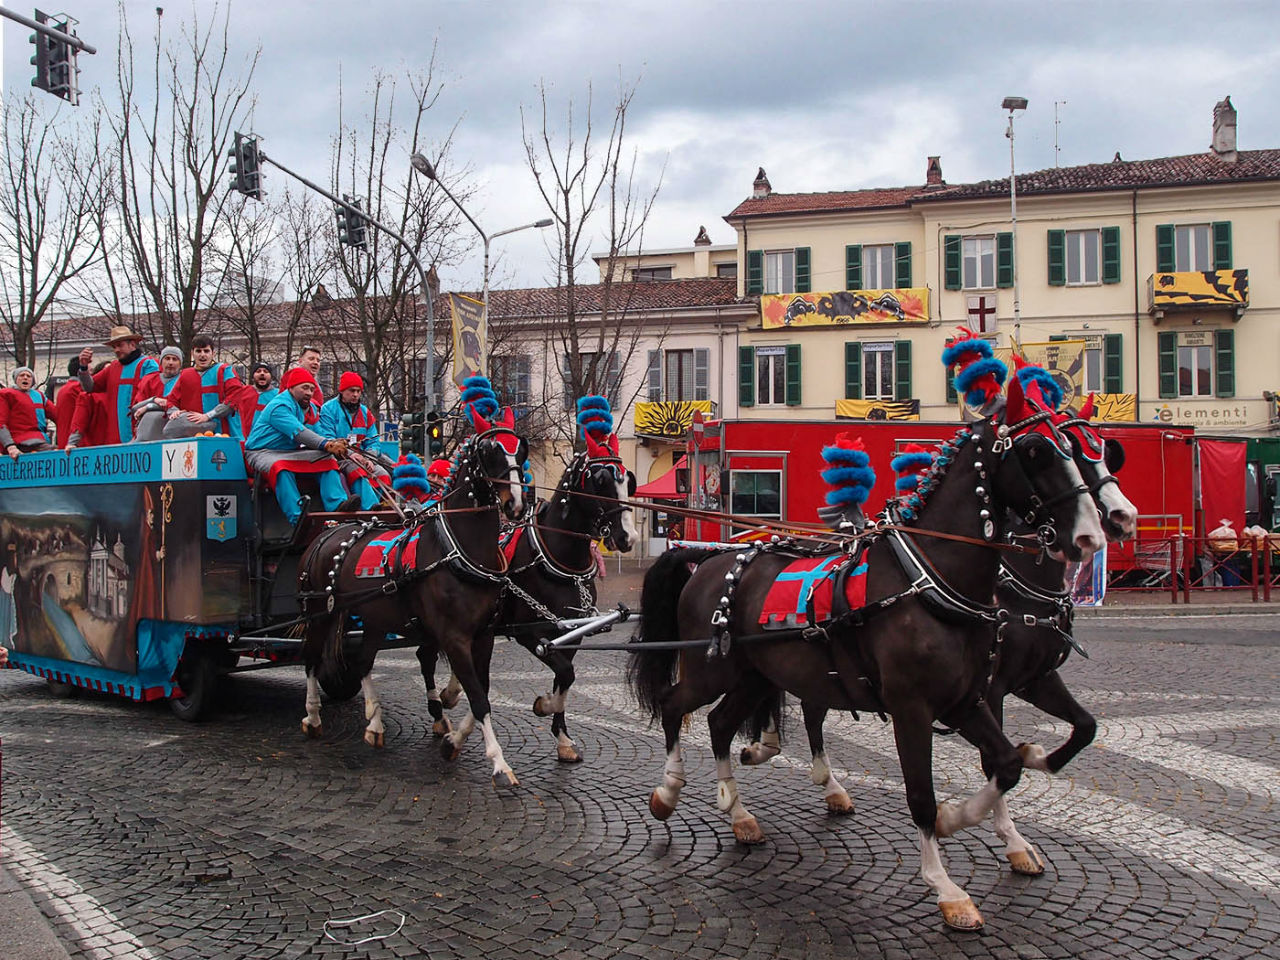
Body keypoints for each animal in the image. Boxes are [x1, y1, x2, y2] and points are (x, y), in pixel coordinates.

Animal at [294, 409, 524, 783]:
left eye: (522, 449)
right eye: (490, 451)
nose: (516, 505)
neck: (457, 551)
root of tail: (330, 530)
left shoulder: (485, 635)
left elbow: (483, 691)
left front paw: (453, 740)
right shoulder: (454, 637)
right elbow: (478, 697)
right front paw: (499, 763)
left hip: (374, 619)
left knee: (363, 662)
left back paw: (374, 722)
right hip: (320, 613)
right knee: (312, 658)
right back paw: (313, 715)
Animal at [624, 381, 1105, 931]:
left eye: (1090, 450)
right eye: (1037, 450)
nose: (1093, 533)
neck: (929, 583)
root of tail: (709, 558)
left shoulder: (969, 698)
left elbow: (1006, 763)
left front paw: (969, 815)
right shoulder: (913, 707)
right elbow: (921, 793)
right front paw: (946, 887)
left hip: (755, 674)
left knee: (721, 723)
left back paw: (740, 812)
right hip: (713, 669)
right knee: (674, 705)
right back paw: (668, 792)